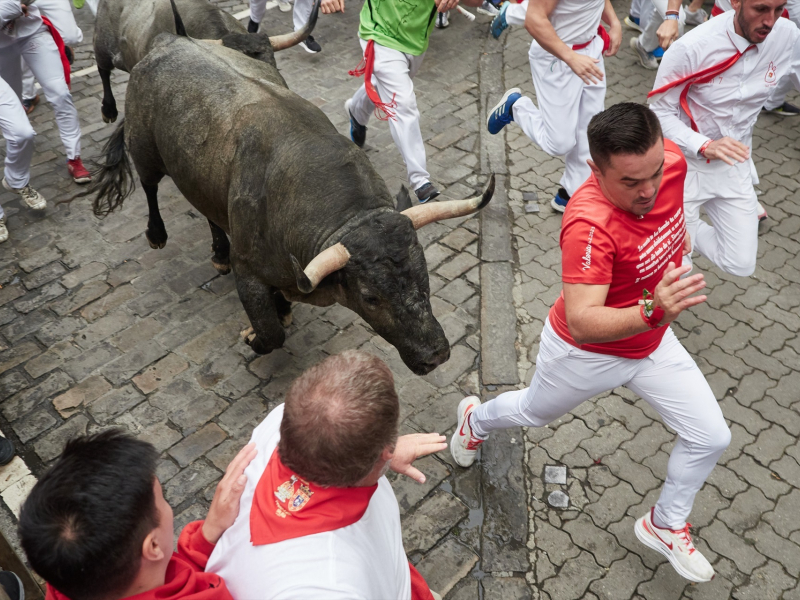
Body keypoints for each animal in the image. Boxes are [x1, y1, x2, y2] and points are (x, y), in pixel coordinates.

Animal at [87, 35, 494, 372]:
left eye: (424, 273)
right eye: (370, 297)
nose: (436, 354)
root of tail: (166, 42)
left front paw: (282, 308)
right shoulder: (248, 269)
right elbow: (270, 332)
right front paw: (254, 334)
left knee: (208, 211)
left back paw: (218, 252)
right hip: (145, 148)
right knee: (150, 186)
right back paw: (157, 234)